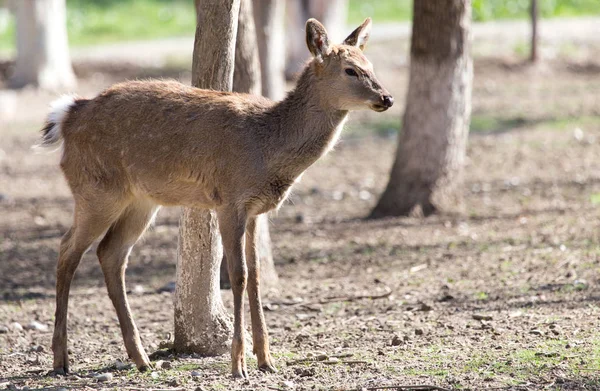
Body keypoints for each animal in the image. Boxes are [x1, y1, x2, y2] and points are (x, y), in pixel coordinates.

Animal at [38, 17, 394, 380]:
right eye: (351, 70)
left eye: (370, 65)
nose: (387, 97)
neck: (268, 148)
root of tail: (67, 116)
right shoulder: (230, 200)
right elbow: (238, 276)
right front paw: (239, 364)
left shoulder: (255, 210)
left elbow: (257, 276)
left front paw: (266, 359)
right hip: (95, 189)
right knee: (67, 250)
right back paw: (60, 360)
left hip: (141, 200)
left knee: (110, 253)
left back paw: (141, 358)